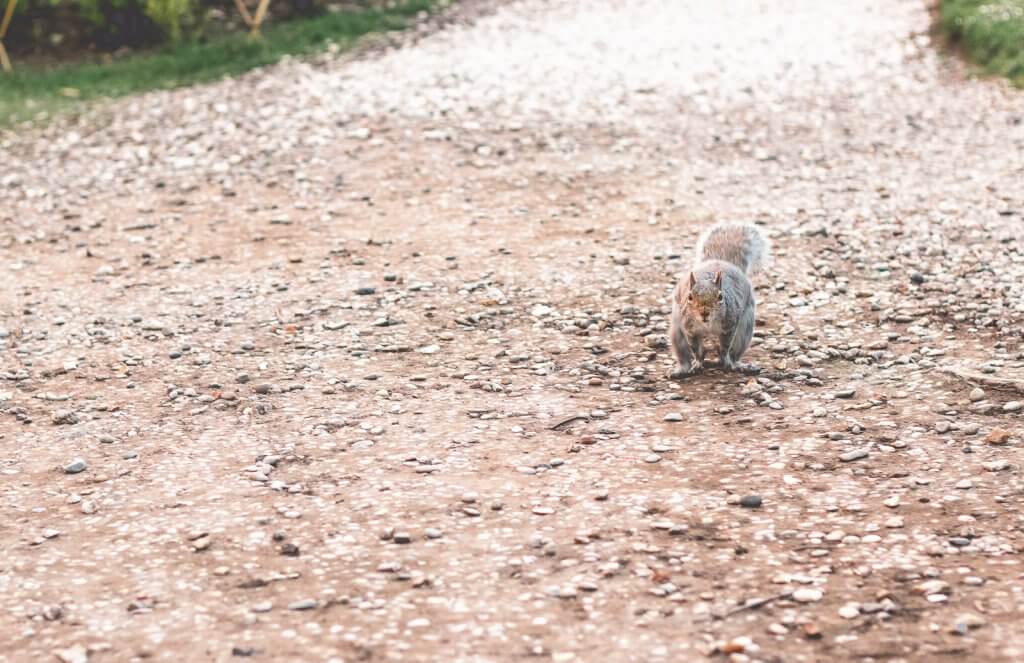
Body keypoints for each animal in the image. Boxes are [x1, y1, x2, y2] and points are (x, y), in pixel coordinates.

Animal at [668, 222, 770, 379]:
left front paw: (725, 358)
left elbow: (725, 346)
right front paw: (698, 362)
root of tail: (722, 261)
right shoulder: (689, 328)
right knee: (685, 354)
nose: (704, 313)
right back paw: (682, 369)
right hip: (677, 331)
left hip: (744, 330)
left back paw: (737, 364)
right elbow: (695, 349)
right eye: (689, 297)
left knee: (735, 352)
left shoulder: (730, 325)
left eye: (720, 296)